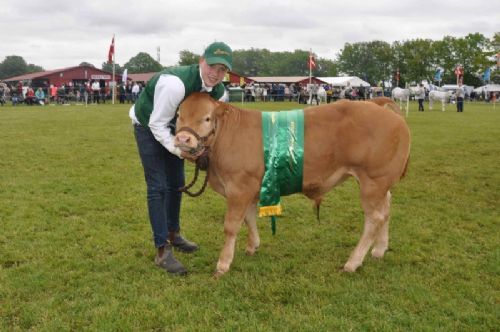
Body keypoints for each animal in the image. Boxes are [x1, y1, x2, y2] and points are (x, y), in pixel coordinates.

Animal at [176, 92, 410, 276]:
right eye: (179, 115)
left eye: (207, 118)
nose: (183, 139)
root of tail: (376, 104)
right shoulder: (250, 187)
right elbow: (249, 218)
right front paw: (253, 245)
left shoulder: (239, 187)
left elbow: (232, 226)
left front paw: (223, 263)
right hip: (381, 185)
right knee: (386, 210)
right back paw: (379, 250)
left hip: (373, 182)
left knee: (375, 218)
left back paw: (353, 262)